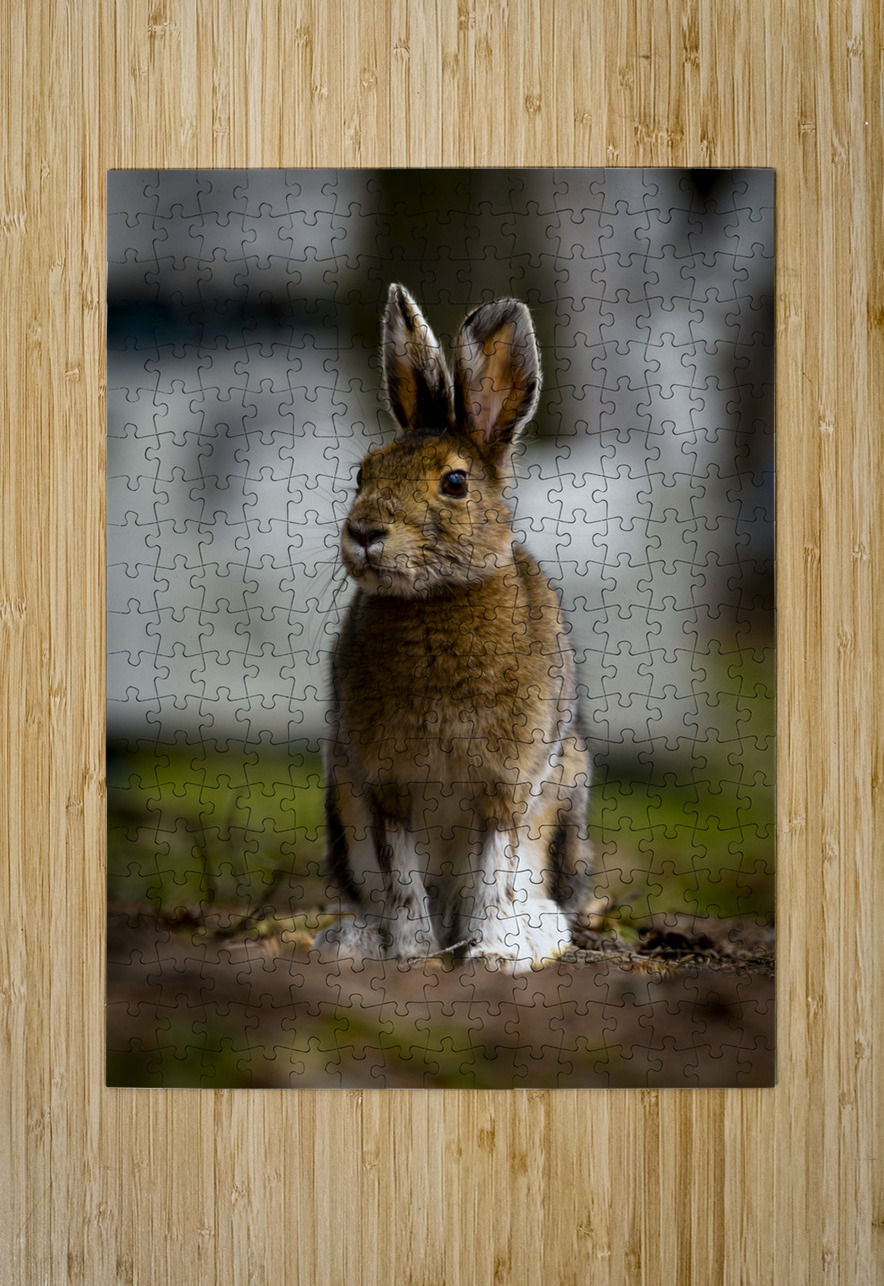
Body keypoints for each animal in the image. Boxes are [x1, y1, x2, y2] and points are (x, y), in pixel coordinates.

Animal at [313, 284, 592, 965]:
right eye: (362, 474)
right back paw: (356, 941)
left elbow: (495, 869)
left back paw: (531, 939)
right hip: (343, 806)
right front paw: (413, 953)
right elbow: (402, 875)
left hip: (562, 804)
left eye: (456, 482)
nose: (364, 533)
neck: (436, 599)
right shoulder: (384, 785)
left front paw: (492, 955)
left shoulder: (508, 785)